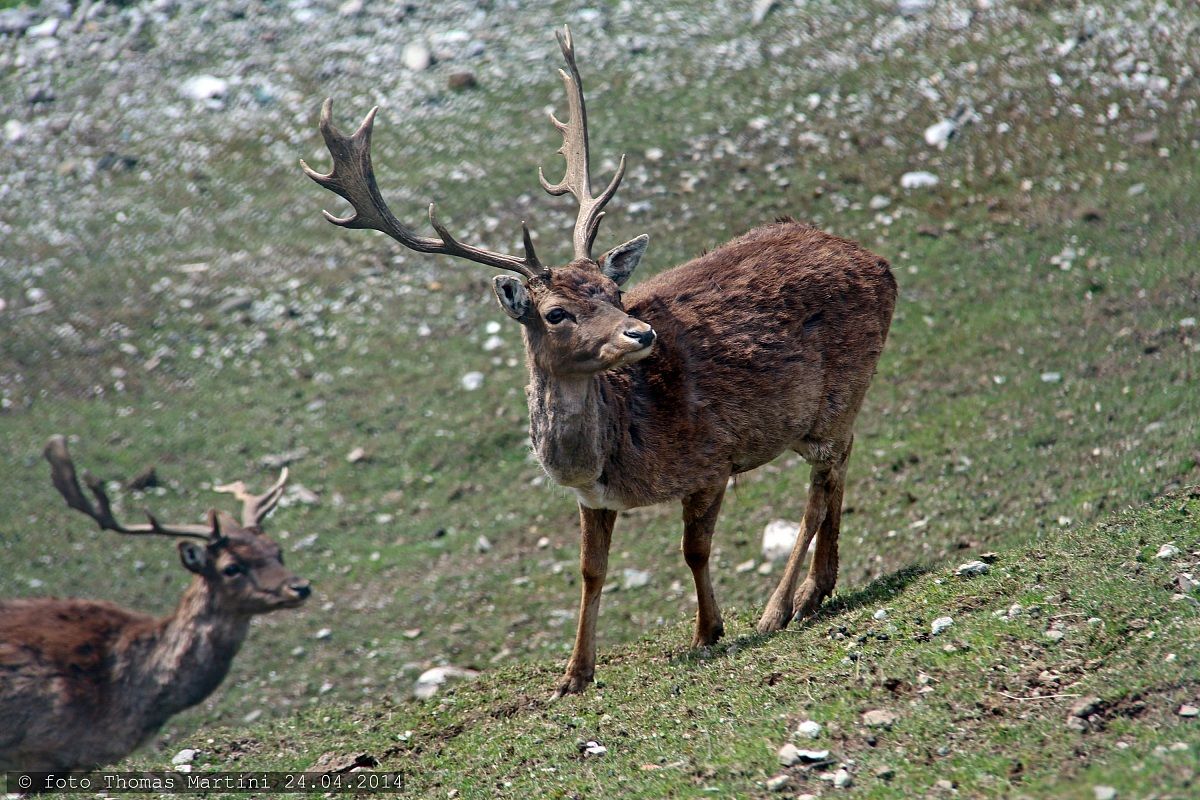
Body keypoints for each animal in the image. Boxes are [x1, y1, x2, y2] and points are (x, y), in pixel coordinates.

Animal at [302, 26, 896, 696]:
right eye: (556, 312)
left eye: (613, 292)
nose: (642, 332)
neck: (613, 451)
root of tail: (880, 263)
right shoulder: (591, 500)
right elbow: (591, 572)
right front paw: (573, 675)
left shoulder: (710, 459)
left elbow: (694, 550)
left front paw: (708, 631)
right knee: (839, 468)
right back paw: (818, 590)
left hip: (835, 395)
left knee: (821, 483)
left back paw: (778, 609)